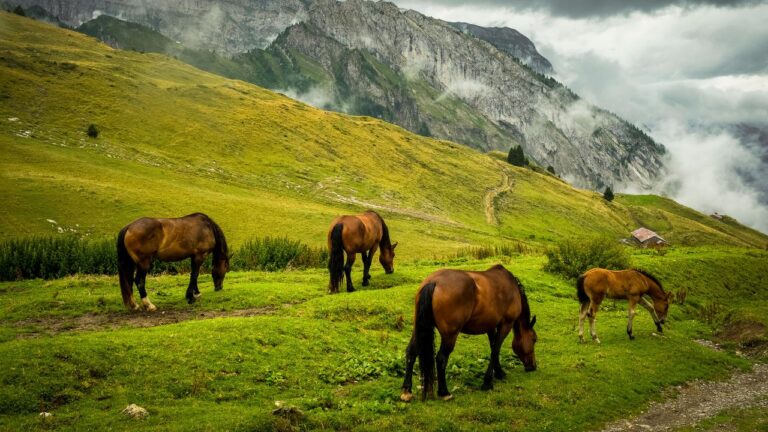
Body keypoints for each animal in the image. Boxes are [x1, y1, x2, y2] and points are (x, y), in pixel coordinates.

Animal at [400, 264, 538, 402]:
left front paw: (499, 372)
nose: (533, 366)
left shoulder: (490, 326)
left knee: (411, 352)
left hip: (418, 329)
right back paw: (444, 392)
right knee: (441, 358)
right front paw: (488, 382)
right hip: (450, 336)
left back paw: (407, 390)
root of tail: (434, 281)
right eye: (534, 339)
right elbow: (495, 350)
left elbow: (493, 348)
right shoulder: (506, 325)